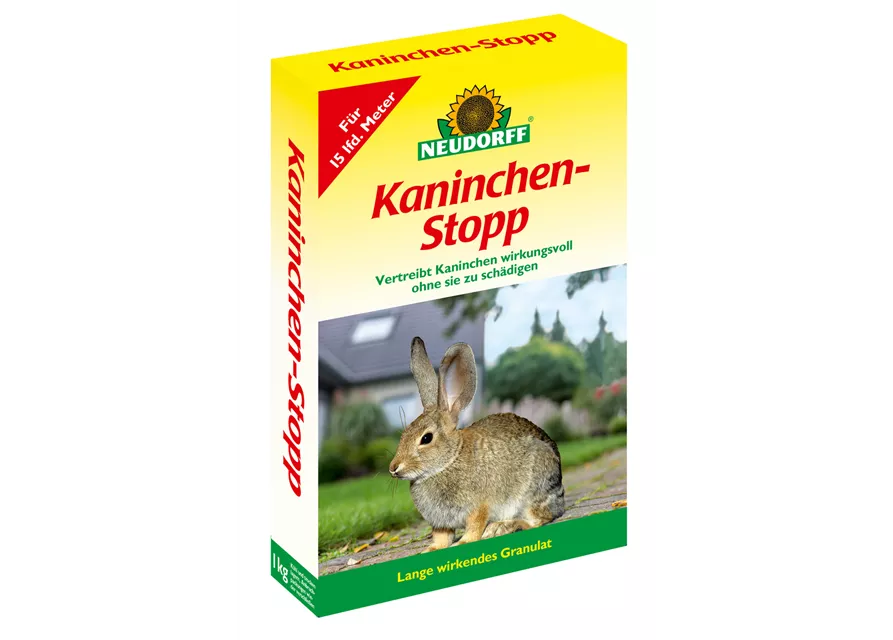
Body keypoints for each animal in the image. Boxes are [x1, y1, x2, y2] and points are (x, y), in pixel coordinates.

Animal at [388, 336, 565, 553]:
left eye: (426, 439)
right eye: (404, 434)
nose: (394, 468)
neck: (448, 462)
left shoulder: (478, 506)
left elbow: (475, 526)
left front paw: (464, 542)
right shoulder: (440, 523)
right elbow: (441, 537)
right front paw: (431, 549)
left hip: (531, 492)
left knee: (538, 519)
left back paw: (503, 527)